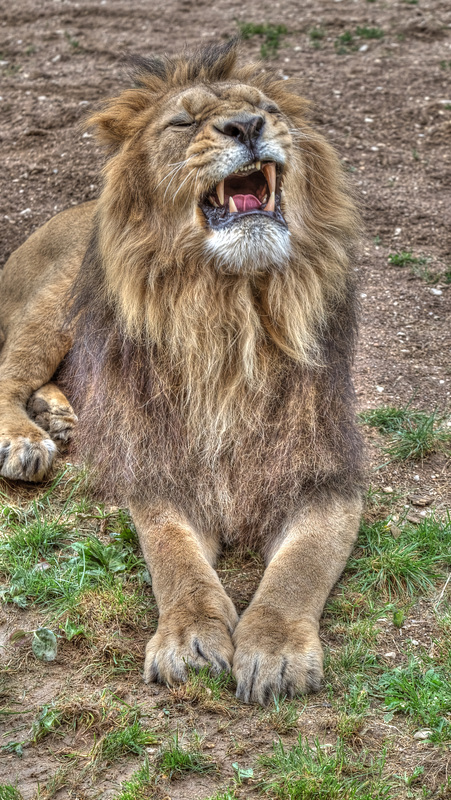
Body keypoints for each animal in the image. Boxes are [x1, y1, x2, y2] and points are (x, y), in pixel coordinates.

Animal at [0, 42, 364, 708]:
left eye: (270, 110)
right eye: (183, 122)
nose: (248, 126)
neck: (233, 317)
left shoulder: (330, 477)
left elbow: (300, 567)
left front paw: (273, 650)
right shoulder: (160, 474)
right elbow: (176, 558)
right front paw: (191, 638)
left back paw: (63, 418)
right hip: (56, 302)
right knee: (9, 376)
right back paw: (28, 439)